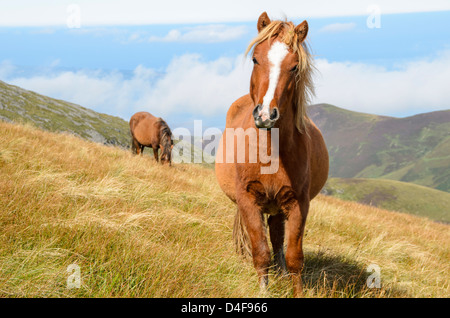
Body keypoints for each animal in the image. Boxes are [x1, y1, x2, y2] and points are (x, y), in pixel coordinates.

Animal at [214, 11, 326, 296]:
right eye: (256, 58)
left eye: (295, 67)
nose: (265, 115)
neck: (271, 152)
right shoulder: (248, 201)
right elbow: (261, 253)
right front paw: (263, 290)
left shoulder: (298, 204)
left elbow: (294, 256)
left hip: (278, 205)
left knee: (277, 237)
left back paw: (282, 271)